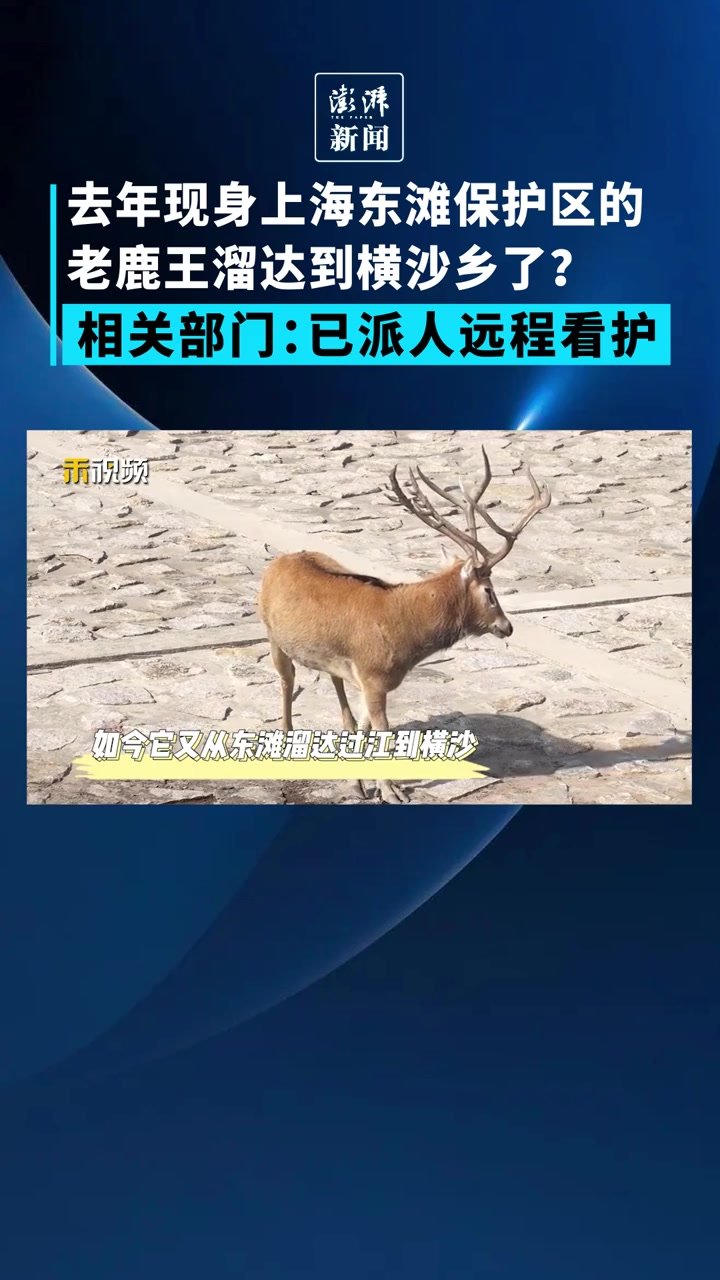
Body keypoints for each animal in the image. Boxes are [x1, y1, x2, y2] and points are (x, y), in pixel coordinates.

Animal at [258, 449, 551, 803]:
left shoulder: (370, 679)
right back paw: (285, 742)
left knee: (336, 689)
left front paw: (360, 785)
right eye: (489, 591)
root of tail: (279, 561)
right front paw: (391, 790)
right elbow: (382, 732)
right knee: (286, 681)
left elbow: (367, 728)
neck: (404, 631)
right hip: (272, 634)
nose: (507, 627)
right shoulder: (373, 675)